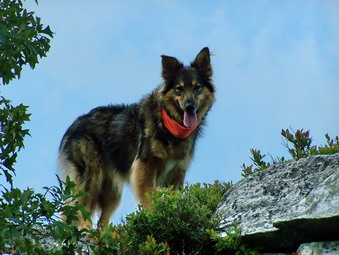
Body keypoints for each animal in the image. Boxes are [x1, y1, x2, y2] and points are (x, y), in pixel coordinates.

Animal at [59, 46, 215, 228]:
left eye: (197, 87)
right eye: (179, 88)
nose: (190, 107)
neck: (168, 123)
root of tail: (75, 124)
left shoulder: (176, 173)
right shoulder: (145, 166)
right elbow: (149, 197)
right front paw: (153, 218)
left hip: (112, 192)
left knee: (100, 221)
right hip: (91, 178)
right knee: (79, 211)